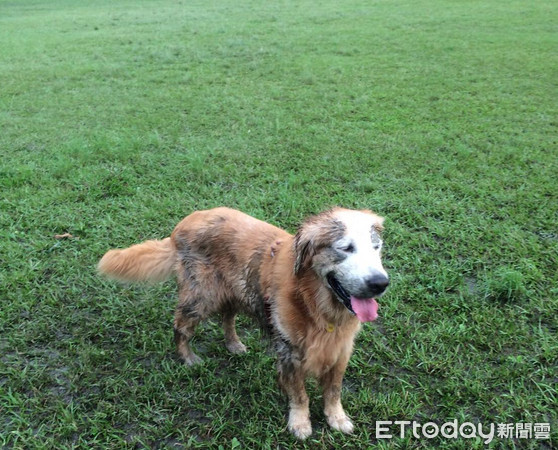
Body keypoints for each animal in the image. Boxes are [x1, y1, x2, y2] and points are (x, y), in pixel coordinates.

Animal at [98, 208, 390, 440]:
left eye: (376, 248)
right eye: (345, 248)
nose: (380, 283)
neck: (315, 305)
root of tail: (180, 227)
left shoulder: (340, 350)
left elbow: (333, 391)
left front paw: (337, 418)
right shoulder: (290, 354)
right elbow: (300, 395)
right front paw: (300, 423)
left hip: (236, 293)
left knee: (227, 319)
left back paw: (234, 344)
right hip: (201, 298)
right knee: (180, 326)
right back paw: (188, 357)